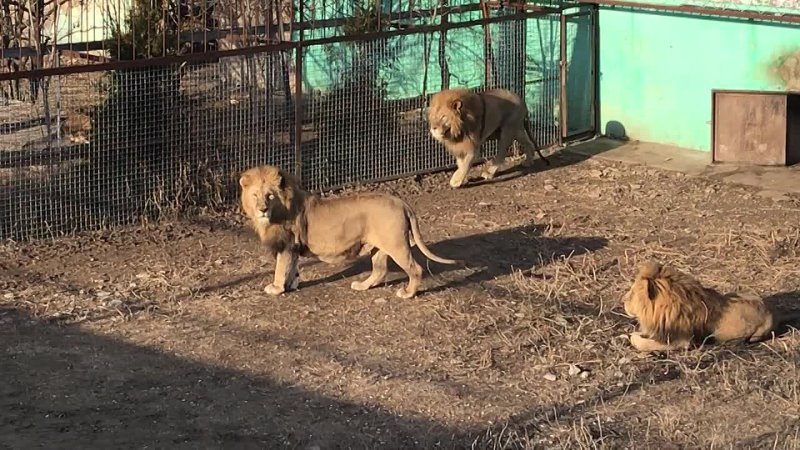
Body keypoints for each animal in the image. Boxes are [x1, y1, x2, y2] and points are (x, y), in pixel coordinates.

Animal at [238, 164, 462, 298]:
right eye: (255, 195)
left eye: (270, 195)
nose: (262, 209)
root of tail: (400, 202)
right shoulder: (293, 247)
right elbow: (292, 267)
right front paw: (292, 284)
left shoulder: (286, 245)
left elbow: (280, 268)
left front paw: (276, 288)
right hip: (378, 247)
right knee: (380, 271)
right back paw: (362, 286)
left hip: (397, 245)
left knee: (415, 269)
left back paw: (407, 293)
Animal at [424, 88, 552, 188]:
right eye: (434, 117)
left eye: (443, 117)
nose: (433, 128)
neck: (457, 130)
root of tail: (522, 101)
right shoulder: (459, 147)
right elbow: (461, 163)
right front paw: (463, 179)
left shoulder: (472, 147)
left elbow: (466, 164)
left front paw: (456, 181)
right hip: (517, 130)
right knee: (528, 143)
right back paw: (529, 161)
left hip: (508, 130)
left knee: (502, 154)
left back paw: (489, 172)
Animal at [620, 260, 796, 352]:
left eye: (632, 293)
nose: (622, 300)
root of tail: (773, 311)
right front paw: (625, 335)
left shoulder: (680, 341)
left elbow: (641, 342)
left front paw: (632, 338)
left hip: (757, 333)